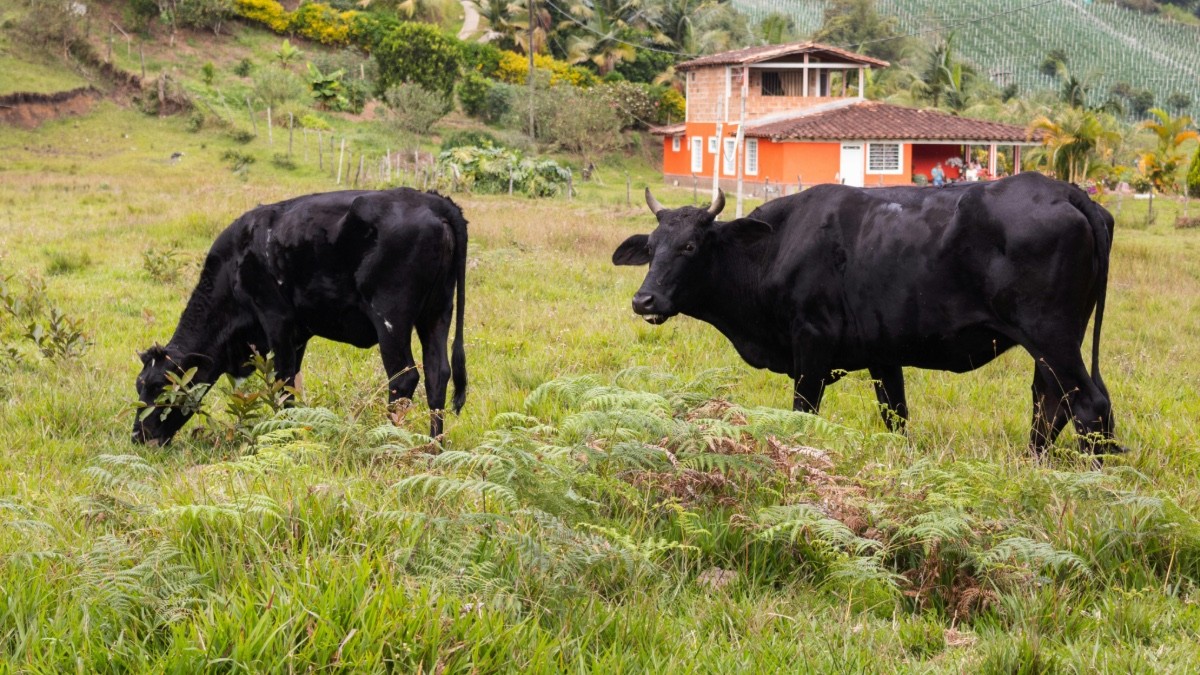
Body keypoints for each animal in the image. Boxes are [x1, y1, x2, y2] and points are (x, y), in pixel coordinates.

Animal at [133, 188, 467, 444]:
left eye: (160, 388)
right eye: (140, 386)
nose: (138, 436)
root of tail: (433, 200)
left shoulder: (276, 319)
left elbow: (282, 382)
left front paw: (284, 433)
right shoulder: (299, 333)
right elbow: (293, 380)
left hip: (391, 317)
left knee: (403, 378)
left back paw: (389, 442)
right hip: (438, 313)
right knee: (437, 374)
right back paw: (434, 448)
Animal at [612, 172, 1120, 455]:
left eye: (690, 246)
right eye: (652, 248)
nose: (644, 301)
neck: (775, 246)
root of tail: (1067, 192)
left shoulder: (811, 348)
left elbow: (803, 414)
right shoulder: (883, 355)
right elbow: (896, 418)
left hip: (1051, 337)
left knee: (1089, 406)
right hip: (1051, 345)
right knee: (1050, 404)